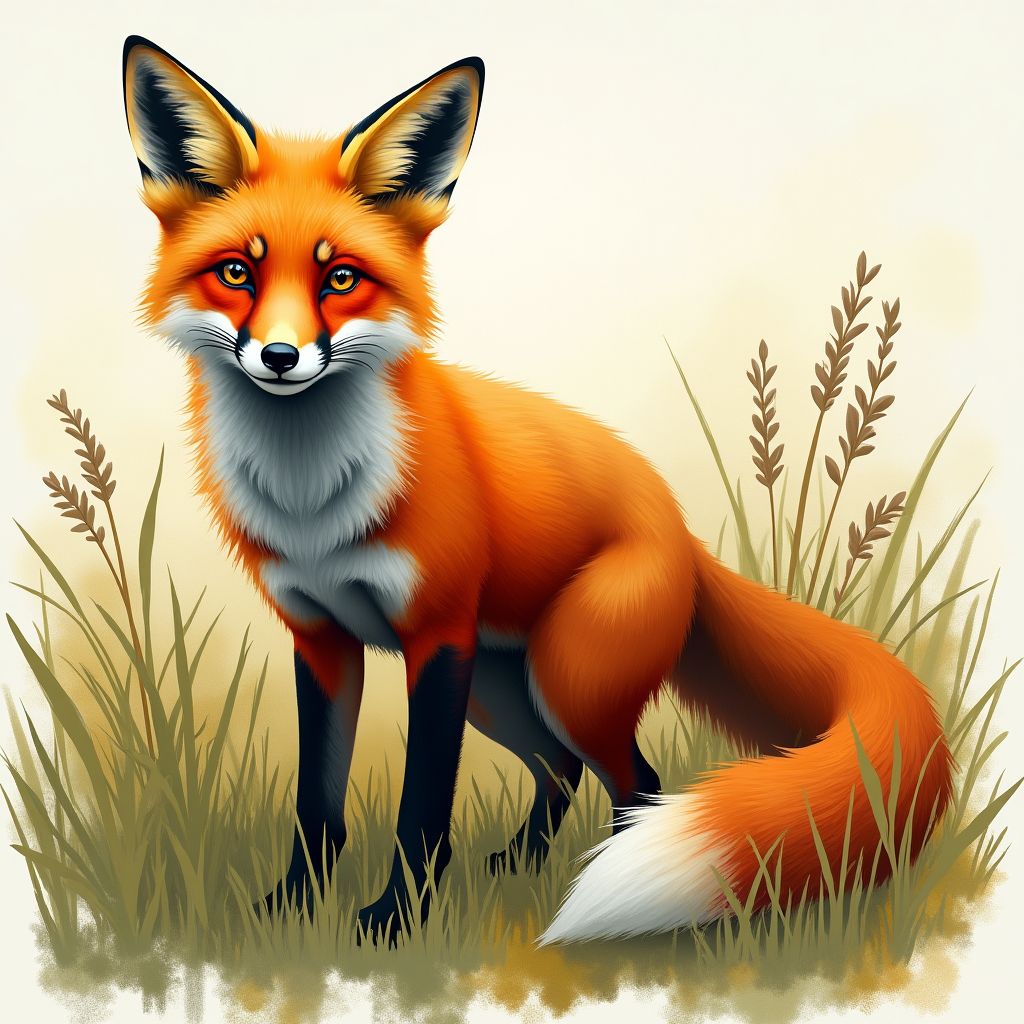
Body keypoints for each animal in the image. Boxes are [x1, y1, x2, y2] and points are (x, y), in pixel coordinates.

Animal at [121, 35, 953, 945]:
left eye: (340, 280)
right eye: (238, 271)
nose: (278, 357)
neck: (313, 502)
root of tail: (680, 527)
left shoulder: (436, 636)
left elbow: (421, 808)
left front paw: (396, 918)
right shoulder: (322, 639)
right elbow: (319, 803)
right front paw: (293, 909)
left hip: (563, 679)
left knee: (638, 780)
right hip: (500, 690)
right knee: (560, 771)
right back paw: (522, 866)